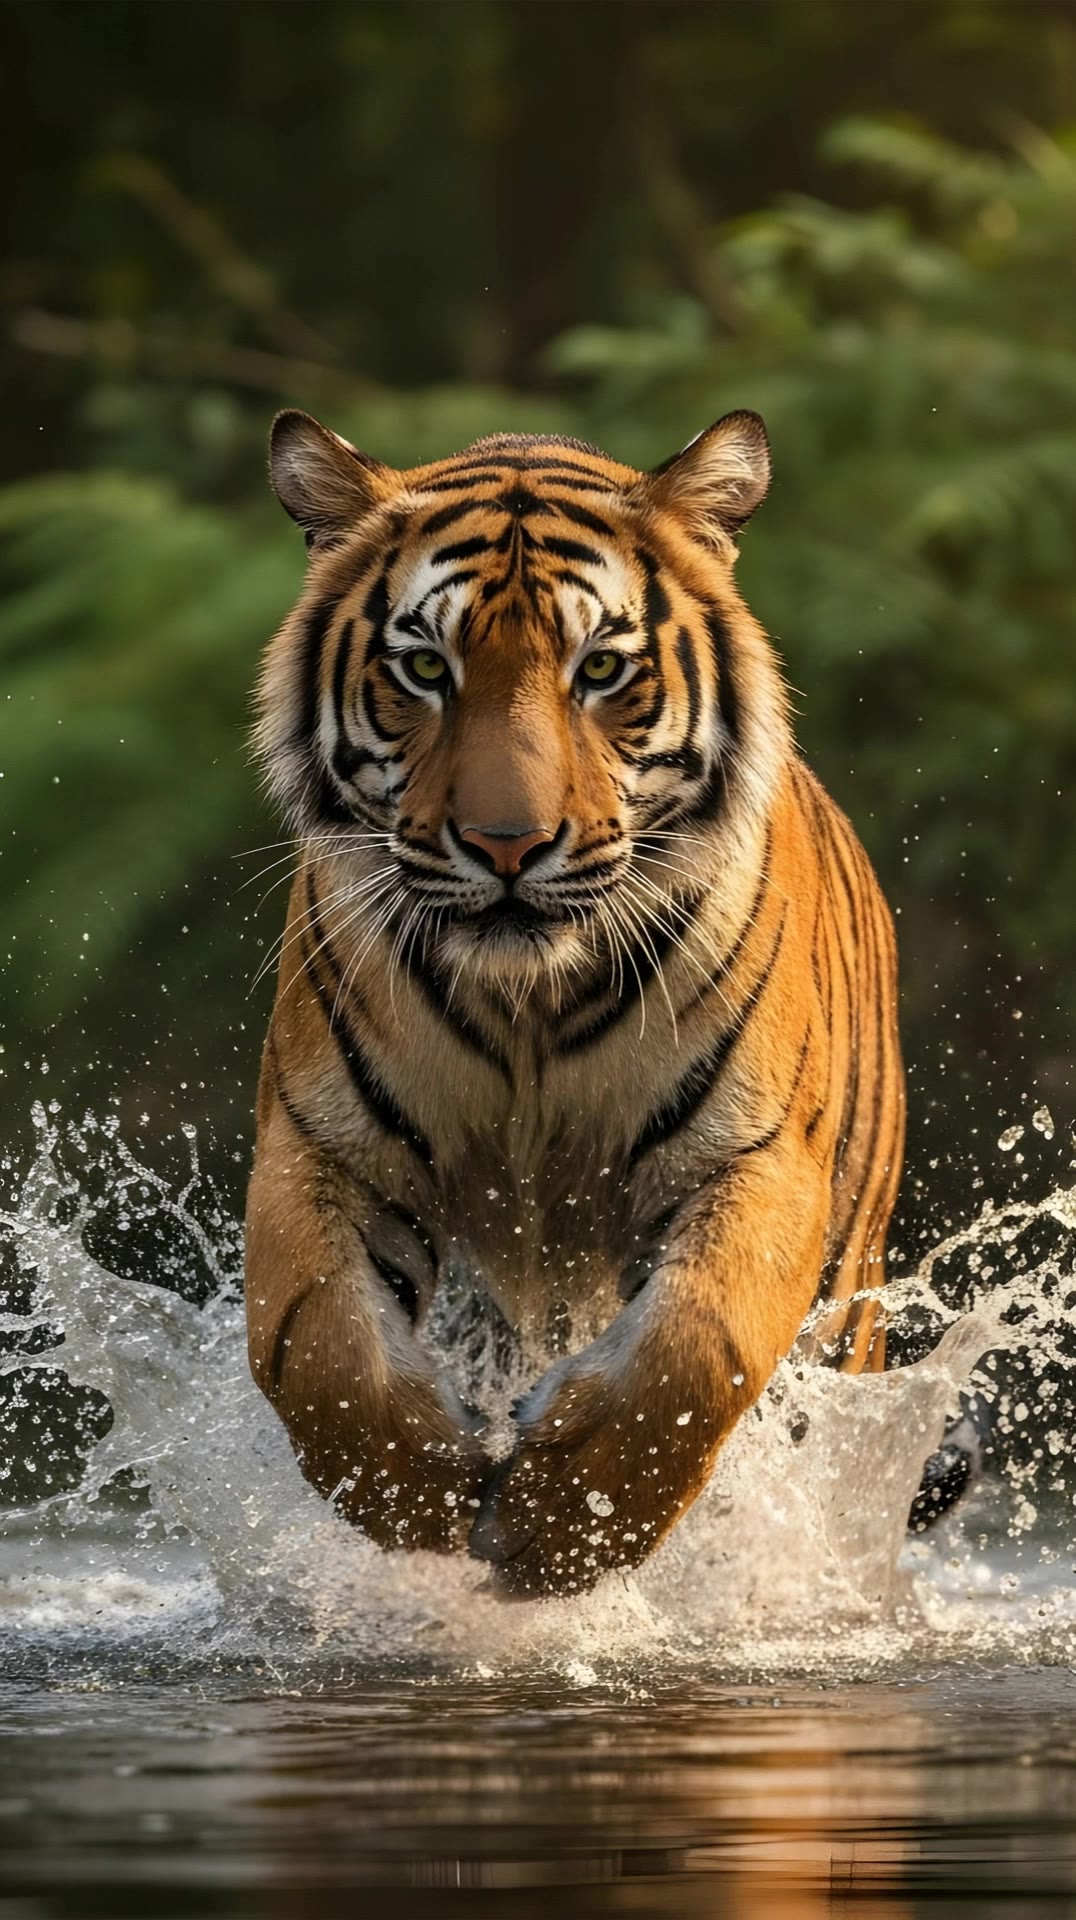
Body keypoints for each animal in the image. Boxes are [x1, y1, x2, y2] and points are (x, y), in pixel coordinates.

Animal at [245, 404, 906, 1597]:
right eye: (424, 666)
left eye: (600, 667)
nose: (507, 844)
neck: (528, 1012)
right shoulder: (316, 1143)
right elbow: (318, 1344)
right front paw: (420, 1499)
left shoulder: (756, 1159)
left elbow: (695, 1346)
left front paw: (563, 1532)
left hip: (851, 1285)